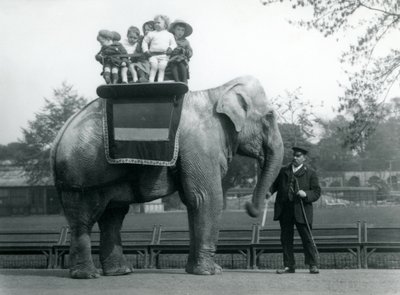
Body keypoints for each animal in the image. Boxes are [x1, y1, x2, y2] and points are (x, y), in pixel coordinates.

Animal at [50, 75, 284, 280]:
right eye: (270, 116)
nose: (249, 207)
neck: (218, 91)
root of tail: (59, 136)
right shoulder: (201, 144)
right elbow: (206, 197)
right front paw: (212, 272)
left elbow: (193, 201)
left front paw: (195, 271)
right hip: (82, 172)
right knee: (85, 219)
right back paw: (87, 275)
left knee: (112, 216)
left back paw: (120, 272)